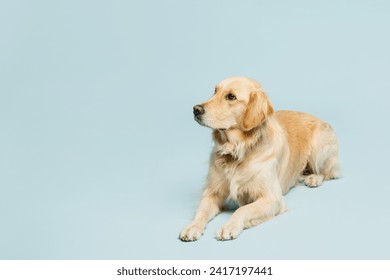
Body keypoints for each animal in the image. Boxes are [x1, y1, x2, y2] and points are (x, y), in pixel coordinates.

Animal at [178, 76, 340, 241]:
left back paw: (314, 178)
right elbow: (201, 212)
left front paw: (229, 226)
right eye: (215, 91)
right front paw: (192, 227)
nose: (196, 109)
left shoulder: (272, 199)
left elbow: (242, 209)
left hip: (319, 147)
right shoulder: (212, 192)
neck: (238, 150)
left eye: (231, 96)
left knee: (329, 172)